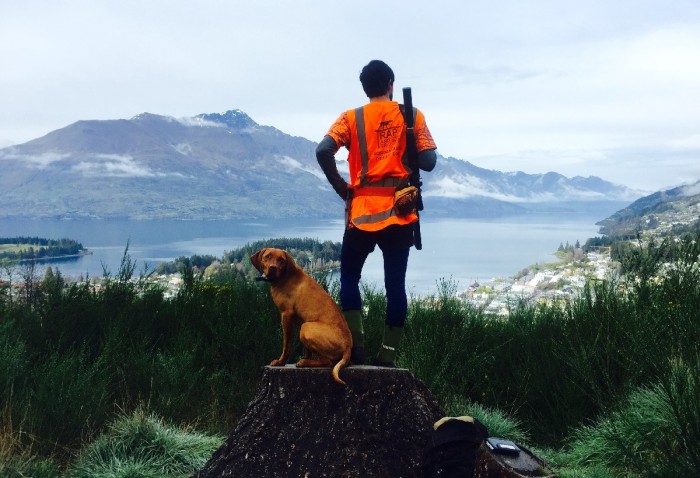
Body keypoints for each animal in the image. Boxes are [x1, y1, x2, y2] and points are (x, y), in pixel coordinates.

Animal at [250, 246, 352, 384]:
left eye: (281, 260)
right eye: (267, 256)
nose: (273, 268)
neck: (285, 276)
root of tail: (348, 347)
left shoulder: (286, 315)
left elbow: (286, 344)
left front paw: (281, 362)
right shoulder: (300, 320)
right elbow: (307, 349)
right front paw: (306, 357)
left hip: (306, 328)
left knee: (328, 362)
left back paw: (304, 363)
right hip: (305, 326)